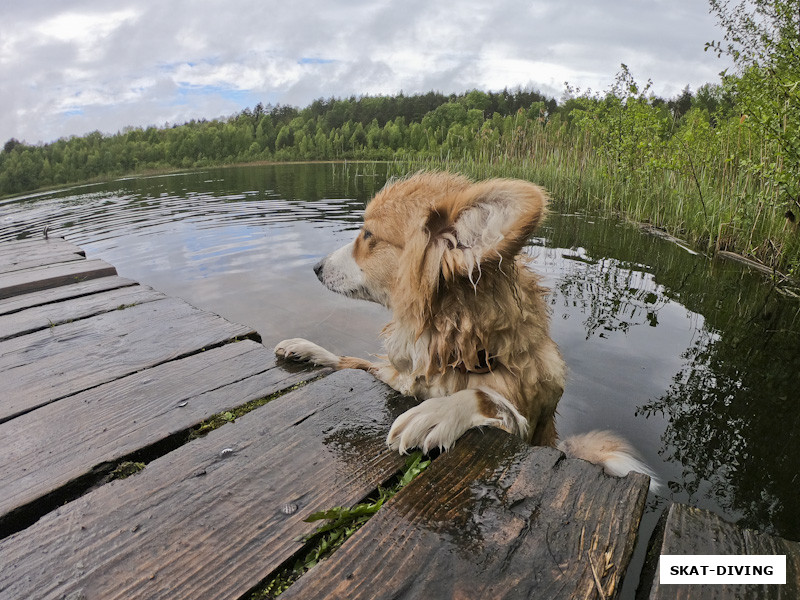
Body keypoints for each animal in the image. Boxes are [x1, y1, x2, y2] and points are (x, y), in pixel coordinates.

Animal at [276, 170, 656, 488]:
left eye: (368, 235)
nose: (316, 267)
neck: (455, 345)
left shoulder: (522, 424)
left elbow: (483, 397)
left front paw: (436, 413)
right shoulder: (396, 376)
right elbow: (353, 361)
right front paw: (307, 349)